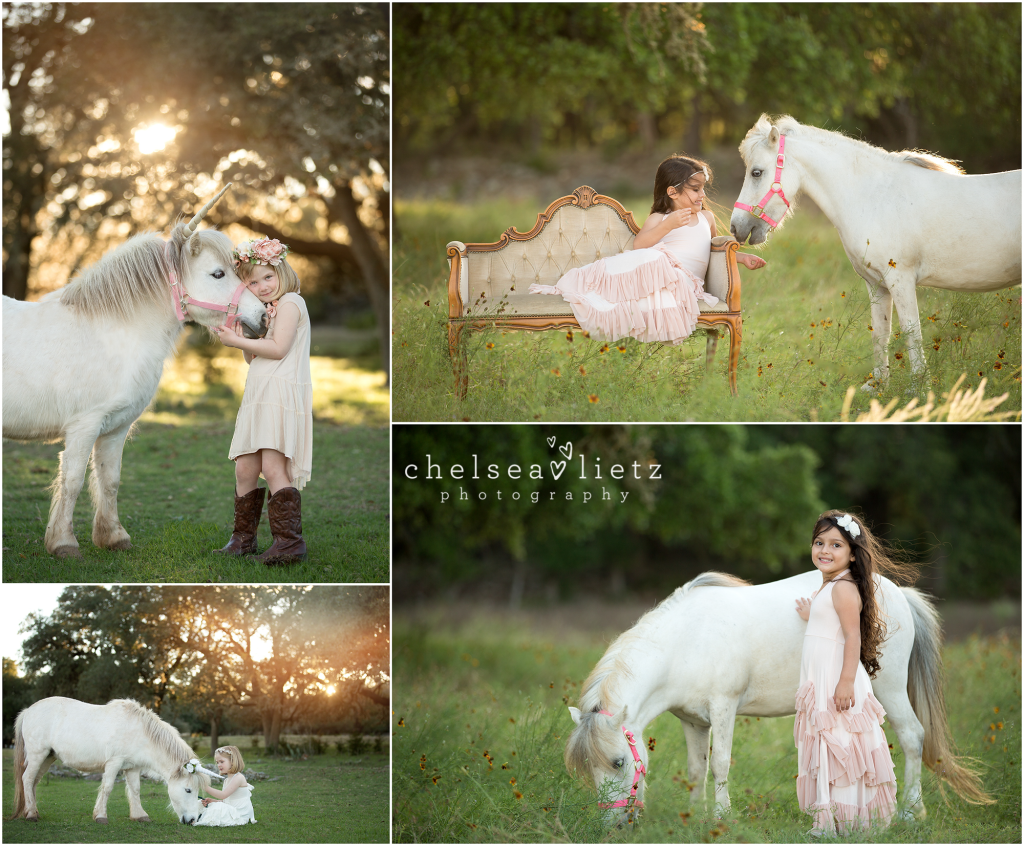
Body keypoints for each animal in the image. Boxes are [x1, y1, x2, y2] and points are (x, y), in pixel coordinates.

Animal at [0, 183, 270, 553]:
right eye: (218, 273)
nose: (263, 318)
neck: (111, 333)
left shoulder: (115, 427)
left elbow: (109, 480)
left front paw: (113, 537)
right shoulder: (83, 425)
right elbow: (72, 480)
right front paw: (63, 544)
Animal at [11, 696, 220, 819]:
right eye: (188, 790)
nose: (192, 819)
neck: (139, 732)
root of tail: (28, 710)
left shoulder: (133, 767)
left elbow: (135, 790)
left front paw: (139, 815)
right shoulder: (114, 763)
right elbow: (107, 787)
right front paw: (100, 816)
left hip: (48, 757)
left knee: (34, 781)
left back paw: (33, 810)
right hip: (38, 755)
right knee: (27, 779)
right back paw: (31, 814)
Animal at [569, 565, 991, 823]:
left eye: (619, 762)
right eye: (588, 766)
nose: (612, 825)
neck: (686, 642)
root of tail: (899, 593)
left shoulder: (723, 708)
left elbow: (720, 764)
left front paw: (722, 817)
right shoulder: (693, 722)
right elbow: (696, 769)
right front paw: (696, 816)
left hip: (889, 690)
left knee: (913, 738)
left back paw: (908, 812)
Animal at [733, 114, 1019, 385]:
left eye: (756, 172)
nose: (736, 227)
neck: (874, 196)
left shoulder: (901, 280)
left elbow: (912, 334)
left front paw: (918, 389)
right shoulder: (877, 284)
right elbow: (880, 334)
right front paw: (879, 385)